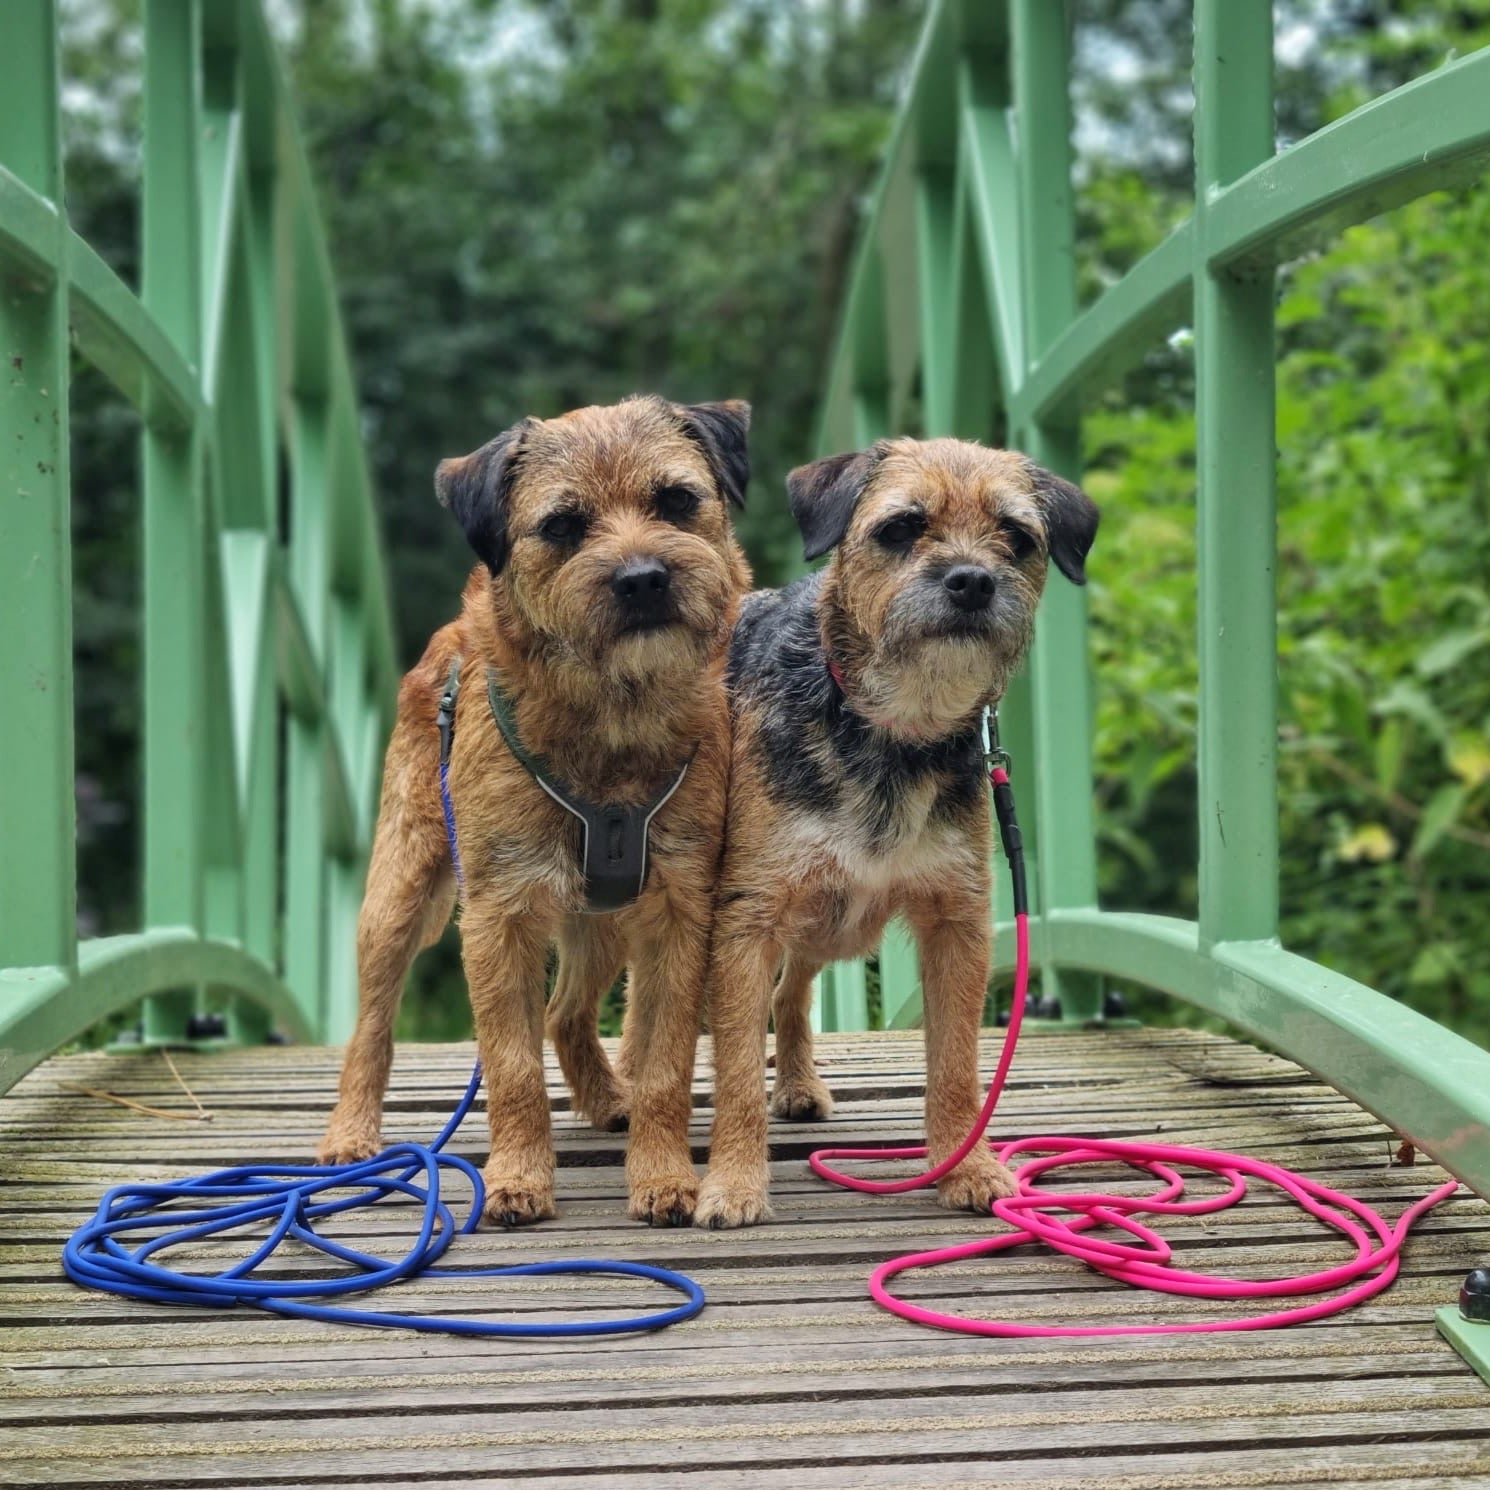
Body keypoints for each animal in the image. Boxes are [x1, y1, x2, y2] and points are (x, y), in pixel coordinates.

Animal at [318, 393, 750, 1221]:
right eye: (563, 526)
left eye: (676, 500)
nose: (643, 580)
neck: (615, 720)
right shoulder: (499, 918)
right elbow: (510, 1064)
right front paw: (518, 1178)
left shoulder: (678, 913)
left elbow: (666, 1061)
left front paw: (662, 1176)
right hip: (401, 897)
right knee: (372, 1026)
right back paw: (350, 1134)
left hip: (603, 924)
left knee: (566, 1013)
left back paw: (609, 1098)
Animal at [694, 435, 1096, 1227]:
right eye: (904, 527)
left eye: (1017, 536)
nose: (971, 581)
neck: (894, 729)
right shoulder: (747, 922)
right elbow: (734, 1071)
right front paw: (733, 1184)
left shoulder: (956, 925)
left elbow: (957, 1064)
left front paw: (966, 1165)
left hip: (827, 924)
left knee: (793, 995)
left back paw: (798, 1085)